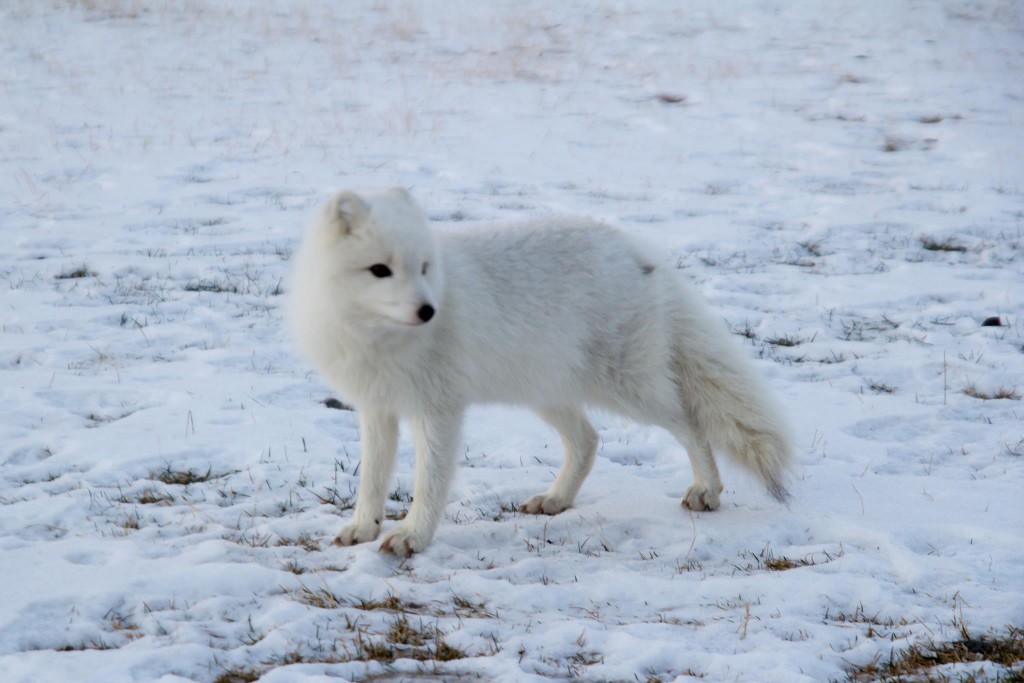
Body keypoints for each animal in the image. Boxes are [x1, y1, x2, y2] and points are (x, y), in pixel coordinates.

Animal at [292, 185, 794, 557]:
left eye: (423, 267)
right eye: (380, 270)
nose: (429, 311)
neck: (380, 340)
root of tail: (636, 249)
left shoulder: (438, 411)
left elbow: (429, 482)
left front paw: (412, 536)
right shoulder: (376, 409)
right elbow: (372, 479)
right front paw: (363, 528)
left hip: (626, 388)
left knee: (690, 423)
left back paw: (707, 490)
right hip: (546, 390)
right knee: (589, 441)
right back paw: (556, 500)